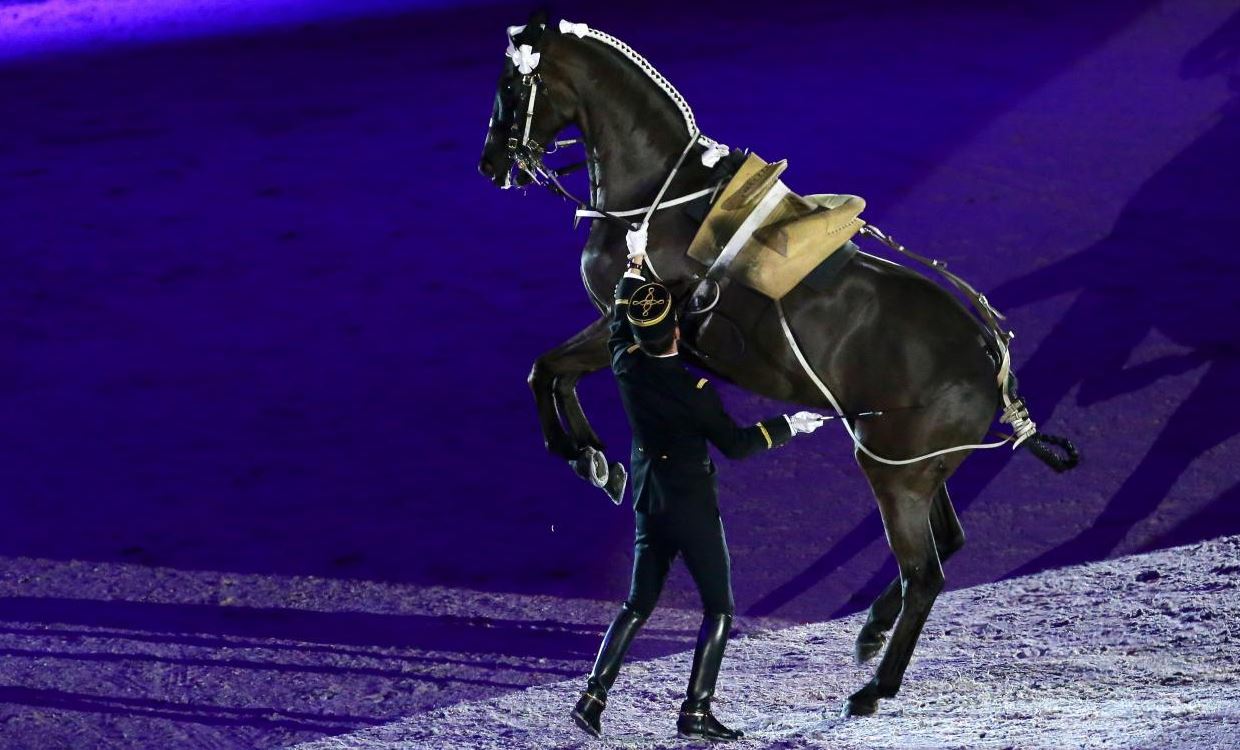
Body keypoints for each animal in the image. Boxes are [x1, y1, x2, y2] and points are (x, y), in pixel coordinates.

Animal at [473, 14, 1076, 719]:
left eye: (511, 83)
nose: (490, 164)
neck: (656, 198)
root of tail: (989, 352)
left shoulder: (631, 325)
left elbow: (545, 370)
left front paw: (586, 456)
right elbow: (552, 372)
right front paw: (598, 460)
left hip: (895, 473)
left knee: (925, 572)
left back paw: (874, 688)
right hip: (916, 463)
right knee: (943, 545)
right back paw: (872, 633)